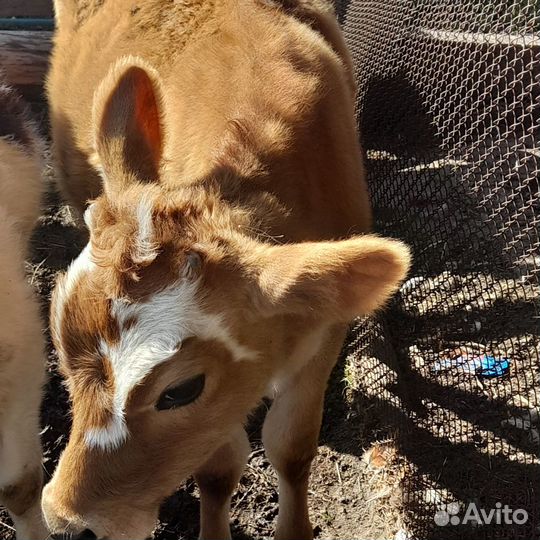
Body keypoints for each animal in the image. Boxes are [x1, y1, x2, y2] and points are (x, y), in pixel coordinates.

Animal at [44, 2, 412, 536]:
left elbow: (292, 447)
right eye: (58, 341)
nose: (62, 522)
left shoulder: (326, 327)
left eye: (181, 390)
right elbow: (218, 472)